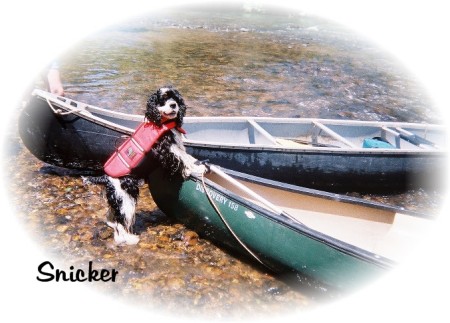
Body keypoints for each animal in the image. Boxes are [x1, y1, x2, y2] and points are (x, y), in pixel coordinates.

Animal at [85, 86, 206, 246]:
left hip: (118, 199)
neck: (162, 121)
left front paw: (198, 165)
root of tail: (106, 178)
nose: (173, 105)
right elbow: (183, 158)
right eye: (163, 99)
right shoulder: (166, 148)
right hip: (126, 198)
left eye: (175, 98)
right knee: (121, 223)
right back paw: (130, 239)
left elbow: (187, 156)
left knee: (113, 217)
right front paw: (197, 168)